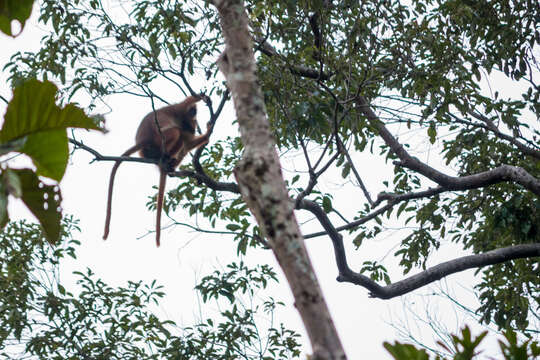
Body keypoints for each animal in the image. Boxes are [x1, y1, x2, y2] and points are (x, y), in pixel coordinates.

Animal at [102, 95, 212, 248]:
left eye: (194, 119)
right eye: (192, 115)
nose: (193, 126)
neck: (183, 120)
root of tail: (143, 140)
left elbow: (188, 143)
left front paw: (207, 133)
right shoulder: (178, 110)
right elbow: (185, 104)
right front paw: (201, 97)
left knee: (182, 143)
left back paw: (169, 165)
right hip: (158, 139)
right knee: (176, 132)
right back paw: (166, 157)